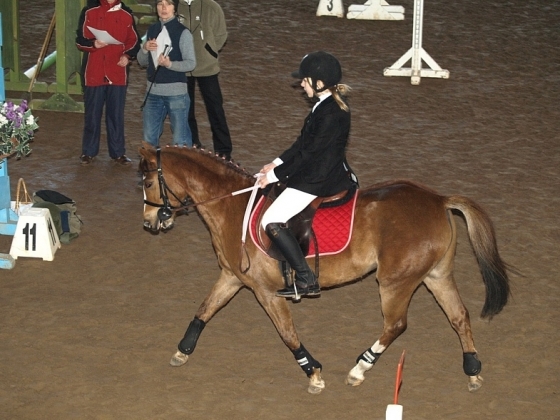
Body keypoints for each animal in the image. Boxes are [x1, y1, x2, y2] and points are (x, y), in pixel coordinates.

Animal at [138, 144, 510, 394]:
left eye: (147, 183)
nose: (149, 222)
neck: (232, 206)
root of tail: (437, 199)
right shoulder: (231, 277)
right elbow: (204, 310)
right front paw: (182, 350)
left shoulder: (265, 291)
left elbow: (288, 334)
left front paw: (314, 373)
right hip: (435, 276)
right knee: (459, 316)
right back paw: (472, 369)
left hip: (395, 282)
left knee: (396, 325)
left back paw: (359, 369)